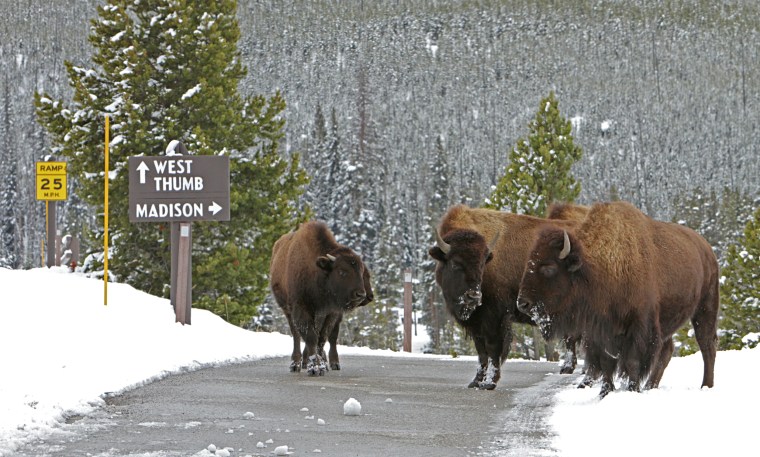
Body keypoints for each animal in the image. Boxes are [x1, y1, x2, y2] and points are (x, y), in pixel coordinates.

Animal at [270, 220, 374, 374]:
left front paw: (324, 364)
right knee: (296, 335)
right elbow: (311, 337)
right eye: (342, 271)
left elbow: (323, 337)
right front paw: (315, 368)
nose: (361, 294)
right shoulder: (301, 308)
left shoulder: (331, 312)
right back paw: (295, 364)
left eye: (361, 272)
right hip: (287, 309)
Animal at [428, 205, 588, 386]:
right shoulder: (477, 322)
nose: (473, 297)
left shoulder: (494, 317)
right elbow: (481, 351)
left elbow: (492, 348)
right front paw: (476, 381)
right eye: (455, 263)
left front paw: (490, 382)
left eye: (482, 264)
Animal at [516, 201, 720, 398]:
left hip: (705, 308)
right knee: (667, 350)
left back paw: (706, 386)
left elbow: (632, 362)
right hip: (668, 320)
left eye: (549, 267)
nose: (522, 303)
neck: (602, 265)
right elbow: (606, 362)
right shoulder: (599, 330)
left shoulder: (638, 326)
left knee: (707, 345)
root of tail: (707, 249)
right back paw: (650, 387)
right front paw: (605, 392)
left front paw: (632, 390)